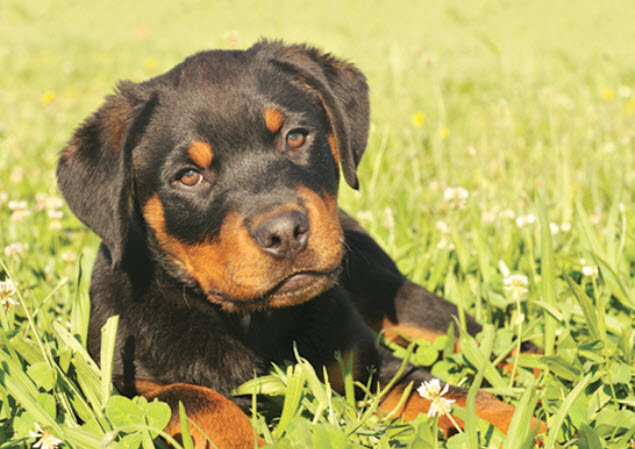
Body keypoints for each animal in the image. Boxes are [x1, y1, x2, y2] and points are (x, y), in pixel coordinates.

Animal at [57, 40, 540, 446]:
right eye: (189, 176)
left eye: (295, 137)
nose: (285, 232)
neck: (254, 321)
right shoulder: (121, 384)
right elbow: (200, 399)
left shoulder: (367, 363)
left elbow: (449, 392)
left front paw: (525, 427)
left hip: (397, 296)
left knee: (487, 339)